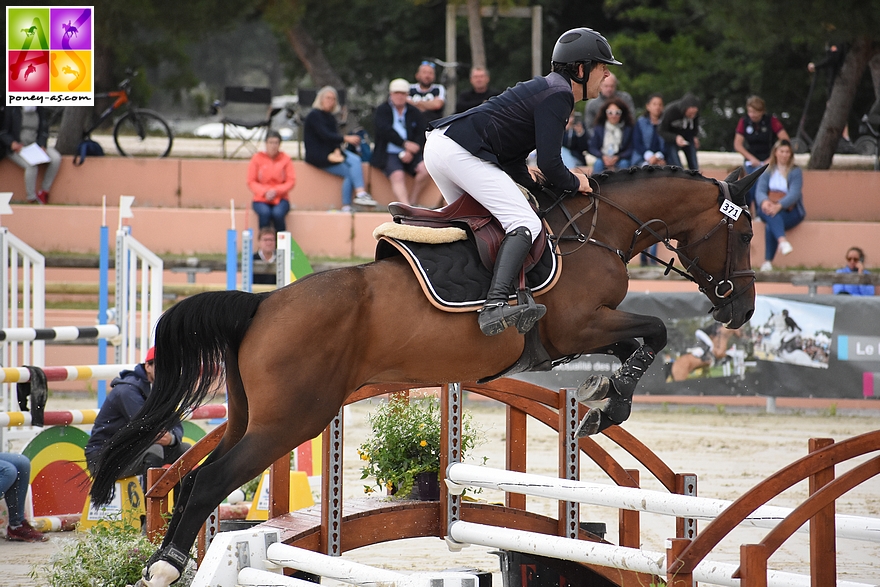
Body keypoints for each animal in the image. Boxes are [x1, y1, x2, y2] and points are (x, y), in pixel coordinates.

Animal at [91, 163, 764, 584]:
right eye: (745, 232)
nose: (740, 309)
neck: (597, 232)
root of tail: (262, 305)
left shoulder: (578, 335)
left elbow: (644, 336)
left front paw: (602, 398)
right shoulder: (580, 327)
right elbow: (655, 330)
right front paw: (609, 401)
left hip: (249, 417)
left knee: (192, 479)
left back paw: (164, 559)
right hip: (290, 422)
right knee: (208, 483)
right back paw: (165, 566)